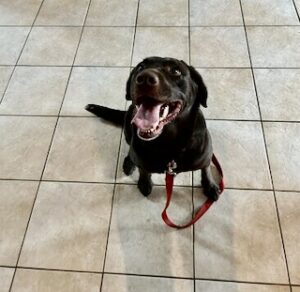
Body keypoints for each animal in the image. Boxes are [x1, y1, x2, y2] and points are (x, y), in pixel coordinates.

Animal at [86, 56, 220, 201]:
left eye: (176, 71)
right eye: (140, 67)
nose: (144, 78)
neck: (170, 143)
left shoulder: (206, 157)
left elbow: (206, 170)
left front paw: (210, 185)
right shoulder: (142, 160)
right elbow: (143, 170)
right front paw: (144, 182)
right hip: (128, 128)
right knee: (130, 148)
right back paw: (129, 162)